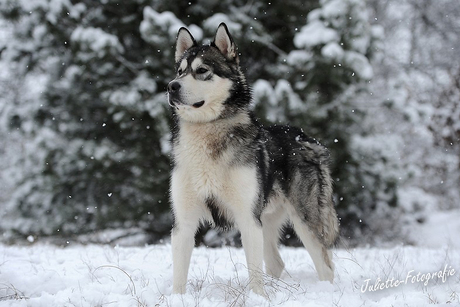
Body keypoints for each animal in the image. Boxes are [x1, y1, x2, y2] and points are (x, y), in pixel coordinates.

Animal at [168, 22, 338, 298]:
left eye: (202, 70)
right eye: (180, 71)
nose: (171, 86)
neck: (208, 134)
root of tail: (305, 137)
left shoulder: (248, 218)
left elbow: (254, 272)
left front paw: (257, 297)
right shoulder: (184, 221)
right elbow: (179, 275)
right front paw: (178, 299)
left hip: (304, 220)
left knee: (325, 266)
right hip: (266, 220)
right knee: (277, 263)